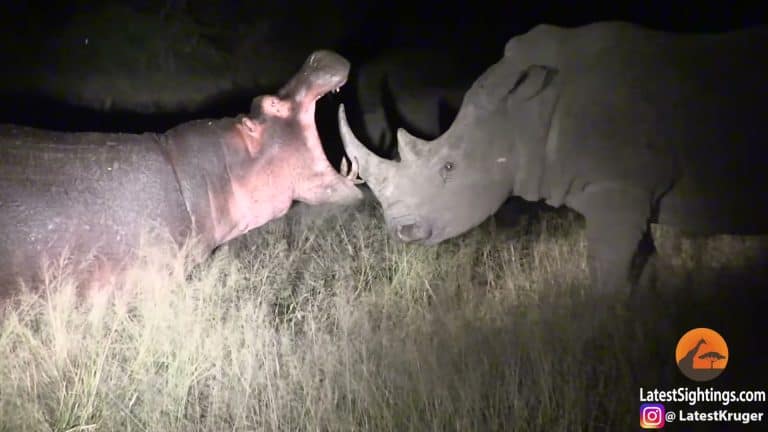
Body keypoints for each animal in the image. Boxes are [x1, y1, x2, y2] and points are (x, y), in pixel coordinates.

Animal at [338, 22, 768, 295]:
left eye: (448, 167)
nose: (402, 230)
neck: (522, 116)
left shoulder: (618, 186)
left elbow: (607, 269)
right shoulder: (628, 190)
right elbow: (642, 266)